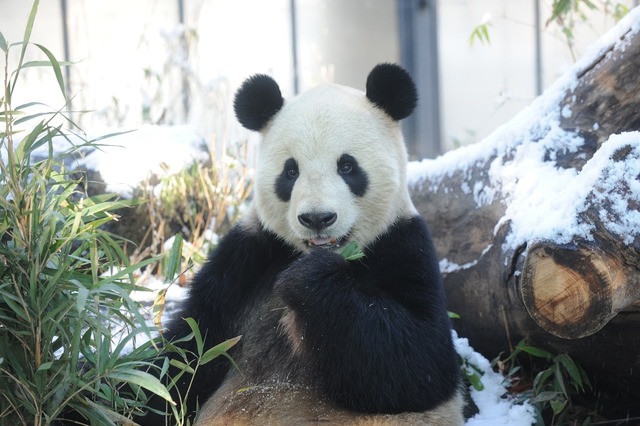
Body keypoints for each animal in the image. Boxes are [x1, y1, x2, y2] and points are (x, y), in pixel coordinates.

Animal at [149, 63, 462, 426]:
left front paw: (308, 281)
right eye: (290, 171)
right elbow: (186, 353)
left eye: (347, 165)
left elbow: (420, 361)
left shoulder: (404, 245)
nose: (317, 218)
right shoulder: (248, 258)